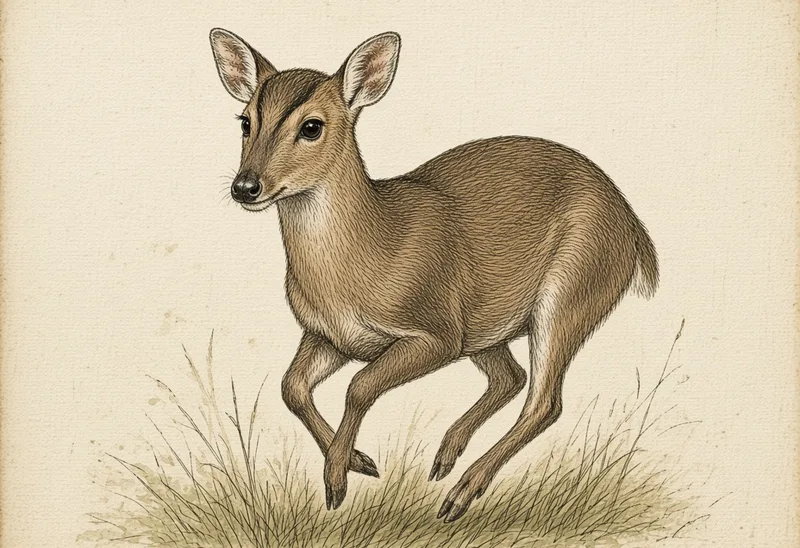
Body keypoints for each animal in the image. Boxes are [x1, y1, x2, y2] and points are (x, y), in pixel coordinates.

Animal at [209, 28, 658, 523]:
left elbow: (359, 386)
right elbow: (291, 388)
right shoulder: (329, 335)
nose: (245, 186)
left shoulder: (437, 332)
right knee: (512, 377)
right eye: (245, 121)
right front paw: (359, 461)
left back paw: (459, 494)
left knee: (544, 402)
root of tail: (635, 232)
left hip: (569, 295)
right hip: (487, 324)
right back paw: (445, 457)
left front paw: (336, 480)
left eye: (311, 126)